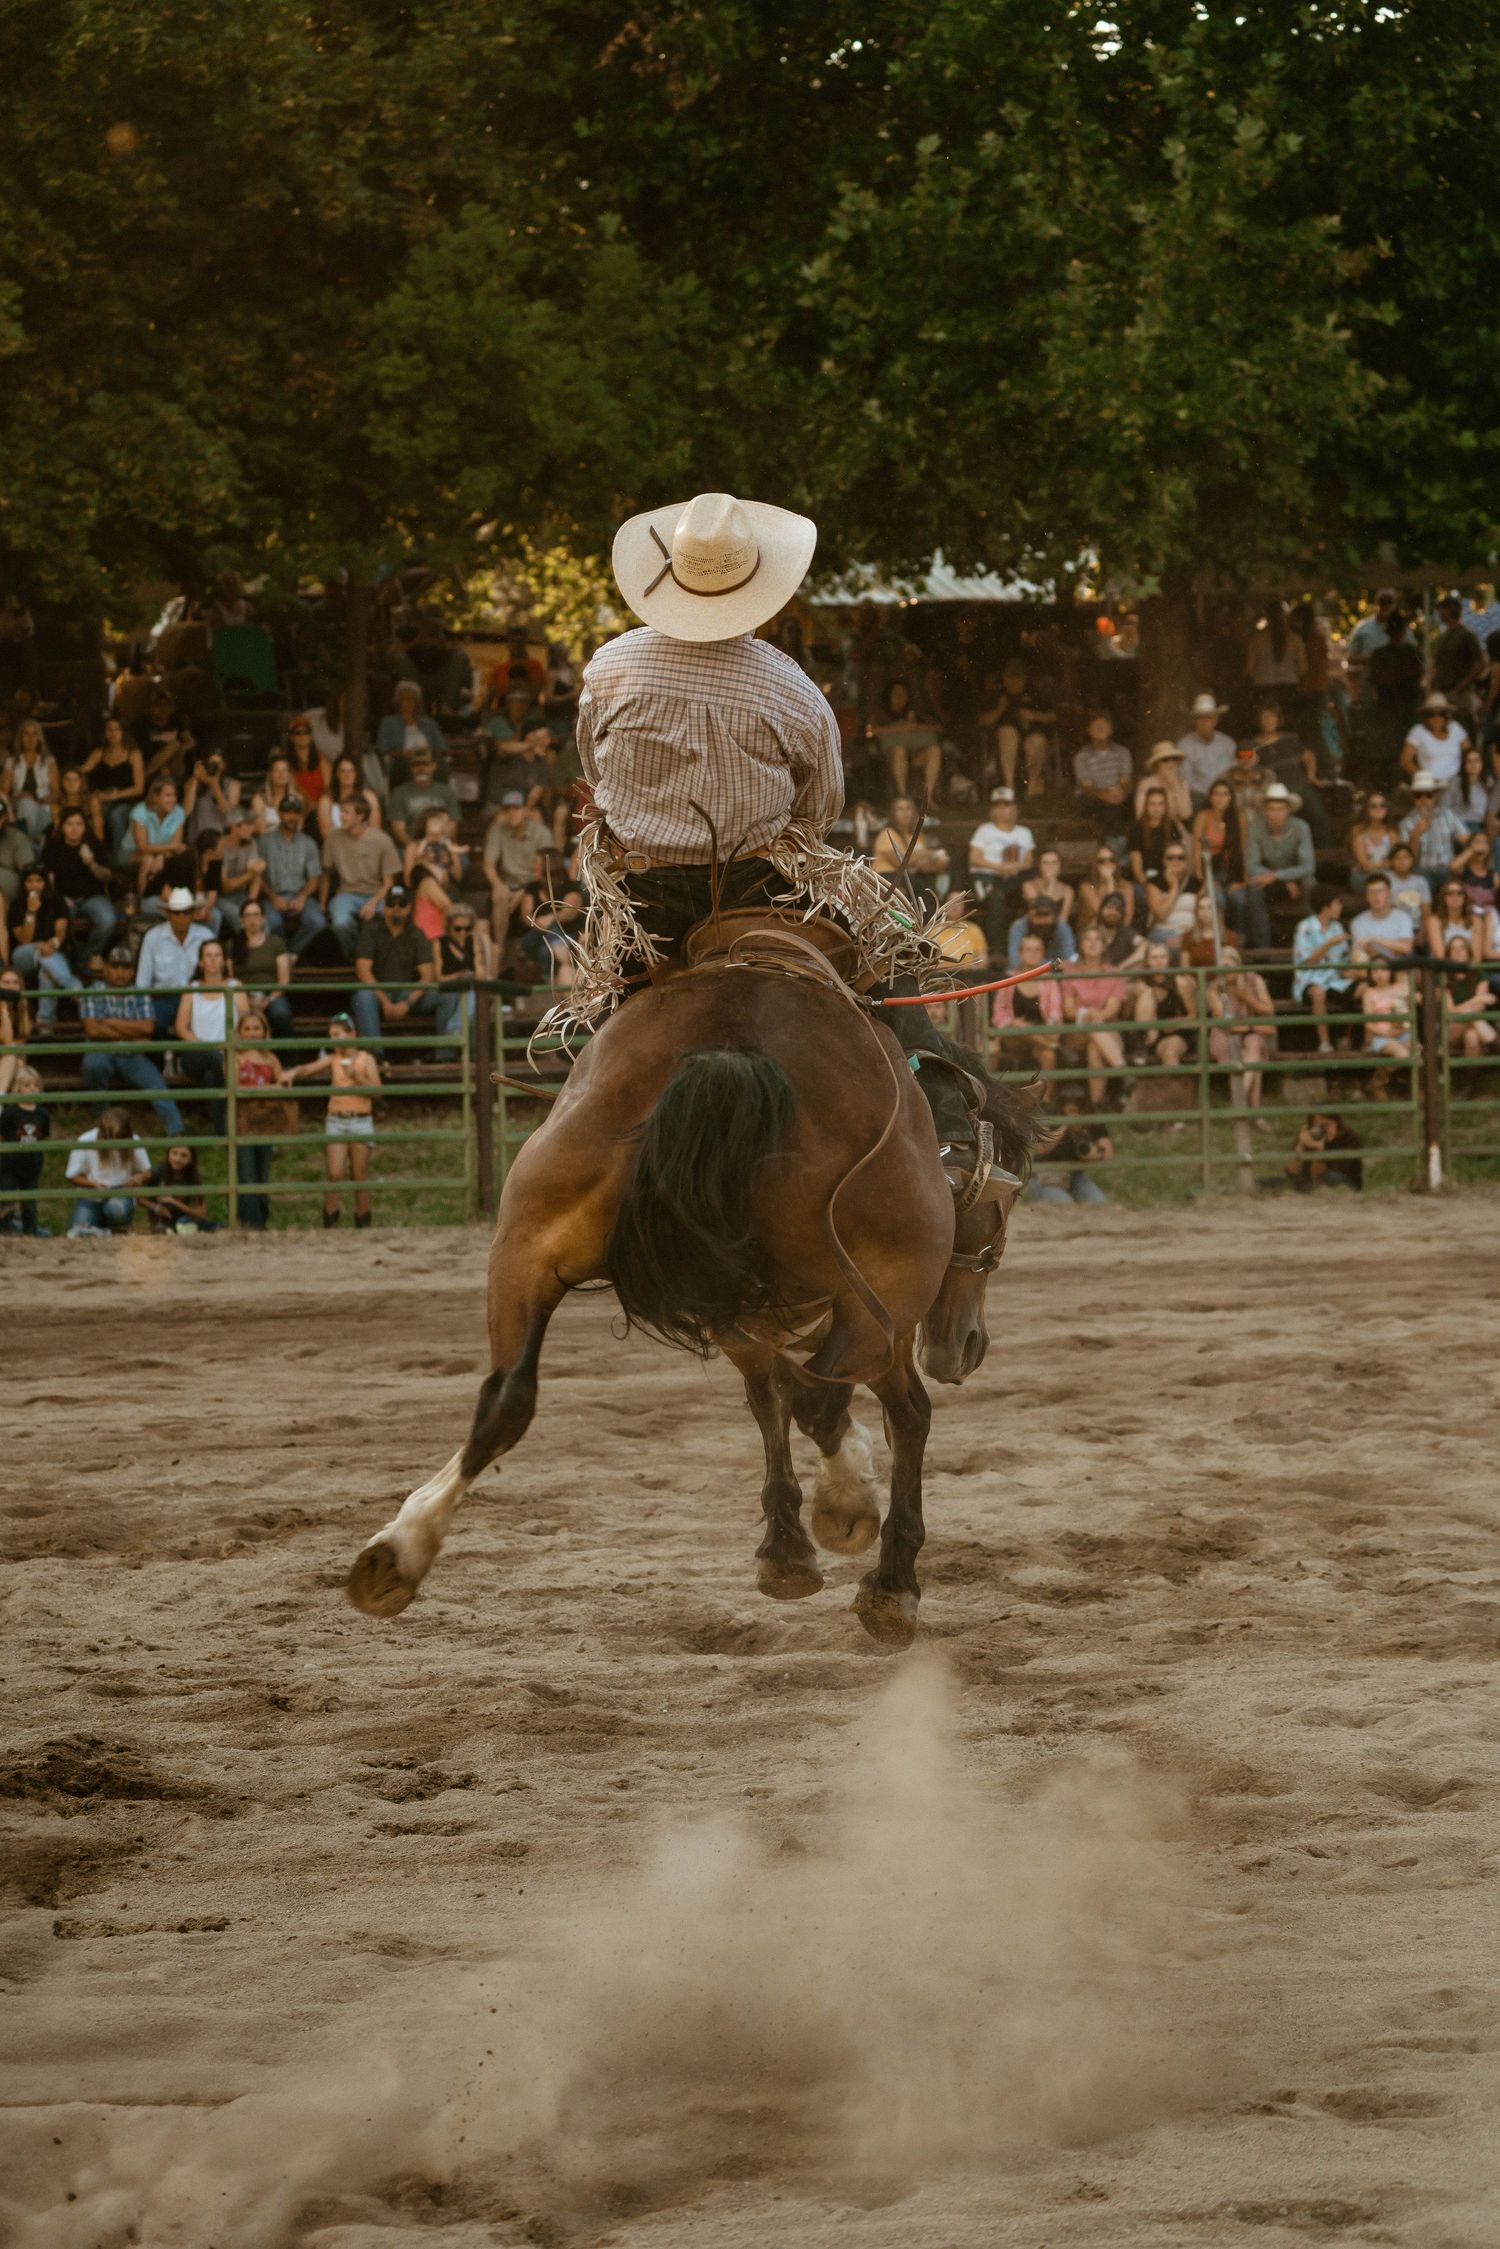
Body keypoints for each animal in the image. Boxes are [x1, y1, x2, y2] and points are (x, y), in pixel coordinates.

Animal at [346, 954, 1037, 1650]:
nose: (964, 1347)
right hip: (879, 1296)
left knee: (506, 1398)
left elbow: (774, 1398)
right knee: (837, 1398)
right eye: (1005, 1206)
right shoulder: (875, 1317)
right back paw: (853, 1510)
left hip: (525, 1245)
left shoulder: (743, 1316)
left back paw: (396, 1554)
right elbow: (881, 1410)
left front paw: (789, 1547)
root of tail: (728, 1045)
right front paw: (872, 1556)